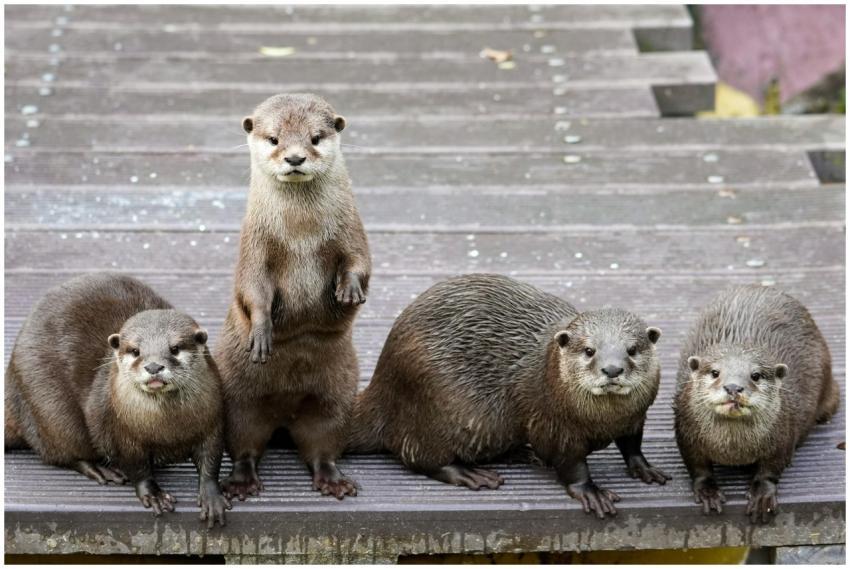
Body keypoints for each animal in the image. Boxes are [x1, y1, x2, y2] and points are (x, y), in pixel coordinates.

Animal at [4, 274, 230, 527]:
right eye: (135, 350)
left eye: (175, 348)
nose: (153, 366)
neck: (168, 429)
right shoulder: (120, 430)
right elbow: (136, 466)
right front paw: (153, 494)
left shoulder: (213, 421)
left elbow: (211, 459)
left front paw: (212, 496)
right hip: (50, 411)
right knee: (63, 452)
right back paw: (100, 469)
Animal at [216, 93, 370, 500]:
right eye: (274, 139)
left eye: (315, 138)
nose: (295, 158)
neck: (301, 231)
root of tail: (283, 416)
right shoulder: (255, 245)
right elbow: (252, 287)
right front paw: (262, 331)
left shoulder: (351, 230)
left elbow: (360, 262)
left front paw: (349, 289)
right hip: (238, 398)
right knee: (245, 442)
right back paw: (241, 482)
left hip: (336, 395)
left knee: (322, 444)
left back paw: (333, 480)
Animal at [348, 273, 668, 518]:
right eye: (589, 350)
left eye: (632, 349)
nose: (612, 369)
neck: (605, 421)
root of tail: (381, 383)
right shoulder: (553, 424)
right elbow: (570, 463)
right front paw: (590, 490)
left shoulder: (636, 417)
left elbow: (632, 443)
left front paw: (645, 468)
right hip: (433, 408)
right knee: (417, 456)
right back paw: (469, 474)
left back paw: (523, 453)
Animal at [674, 285, 839, 524]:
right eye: (715, 372)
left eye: (756, 375)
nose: (734, 387)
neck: (734, 450)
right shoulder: (687, 434)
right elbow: (697, 466)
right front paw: (708, 491)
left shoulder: (782, 434)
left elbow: (770, 469)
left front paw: (762, 495)